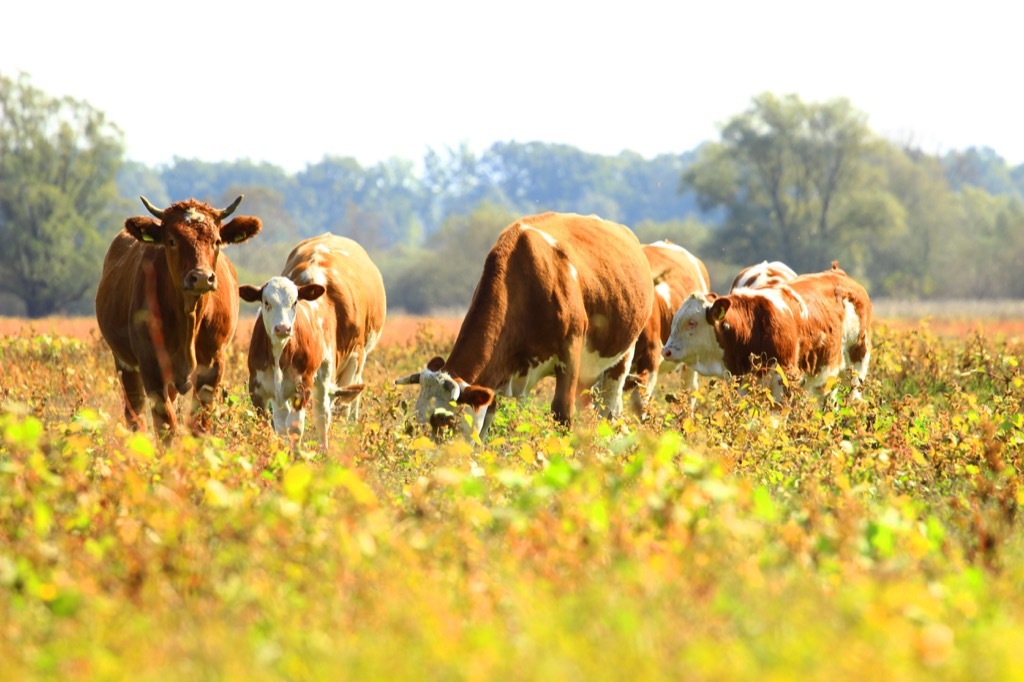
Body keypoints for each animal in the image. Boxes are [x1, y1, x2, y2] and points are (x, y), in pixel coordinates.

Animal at [95, 192, 262, 436]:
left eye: (217, 241)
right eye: (172, 241)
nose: (201, 277)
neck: (189, 316)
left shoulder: (213, 363)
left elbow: (199, 424)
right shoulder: (150, 364)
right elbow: (166, 425)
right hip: (124, 364)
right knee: (135, 415)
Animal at [239, 233, 387, 446]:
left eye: (294, 302)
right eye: (266, 302)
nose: (283, 328)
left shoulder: (306, 384)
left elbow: (303, 425)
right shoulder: (259, 388)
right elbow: (273, 427)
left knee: (325, 414)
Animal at [395, 209, 651, 438]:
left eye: (444, 421)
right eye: (414, 421)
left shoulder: (570, 352)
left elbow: (562, 413)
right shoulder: (497, 375)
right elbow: (486, 425)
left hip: (623, 354)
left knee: (609, 408)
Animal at [659, 261, 868, 401]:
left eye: (692, 323)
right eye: (675, 320)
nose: (666, 351)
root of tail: (838, 273)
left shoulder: (785, 381)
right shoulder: (740, 384)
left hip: (856, 367)